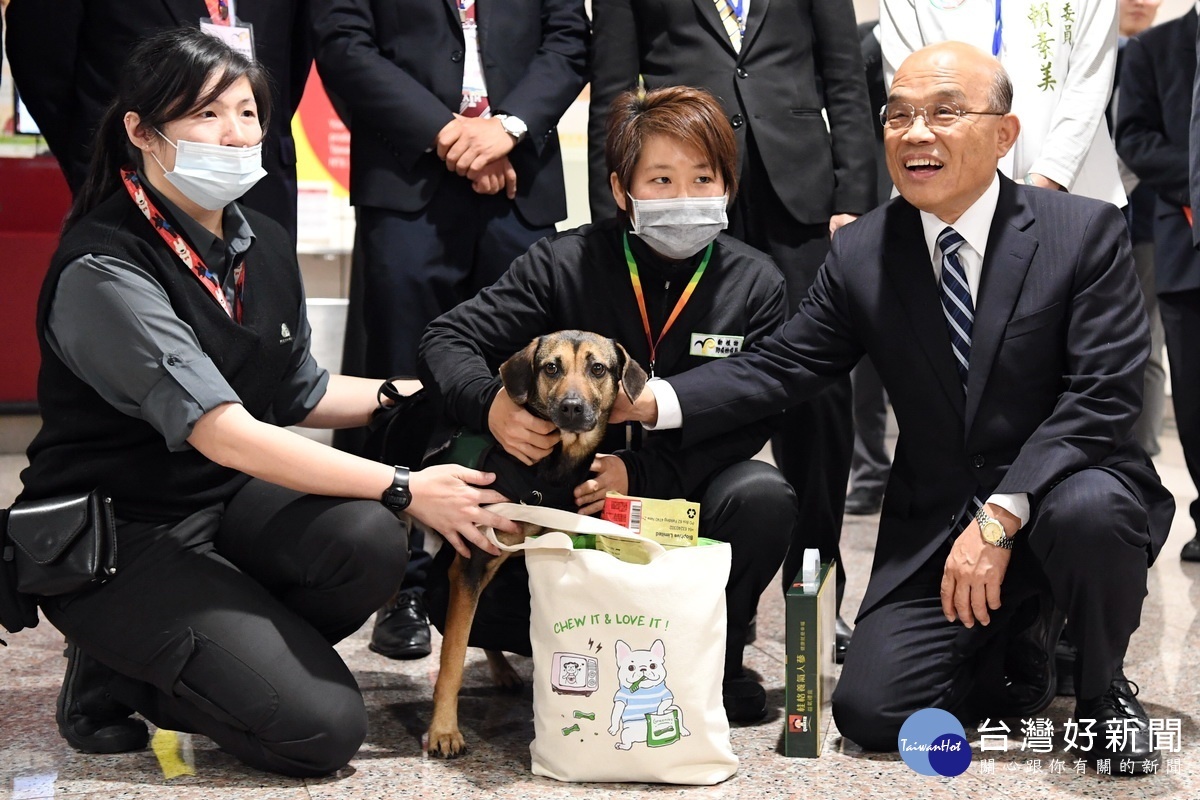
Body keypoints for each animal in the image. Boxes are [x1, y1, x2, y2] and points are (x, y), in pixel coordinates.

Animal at [424, 331, 648, 758]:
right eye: (551, 368)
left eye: (598, 368)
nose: (572, 408)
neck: (553, 468)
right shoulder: (469, 563)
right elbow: (453, 657)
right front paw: (444, 730)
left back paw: (502, 670)